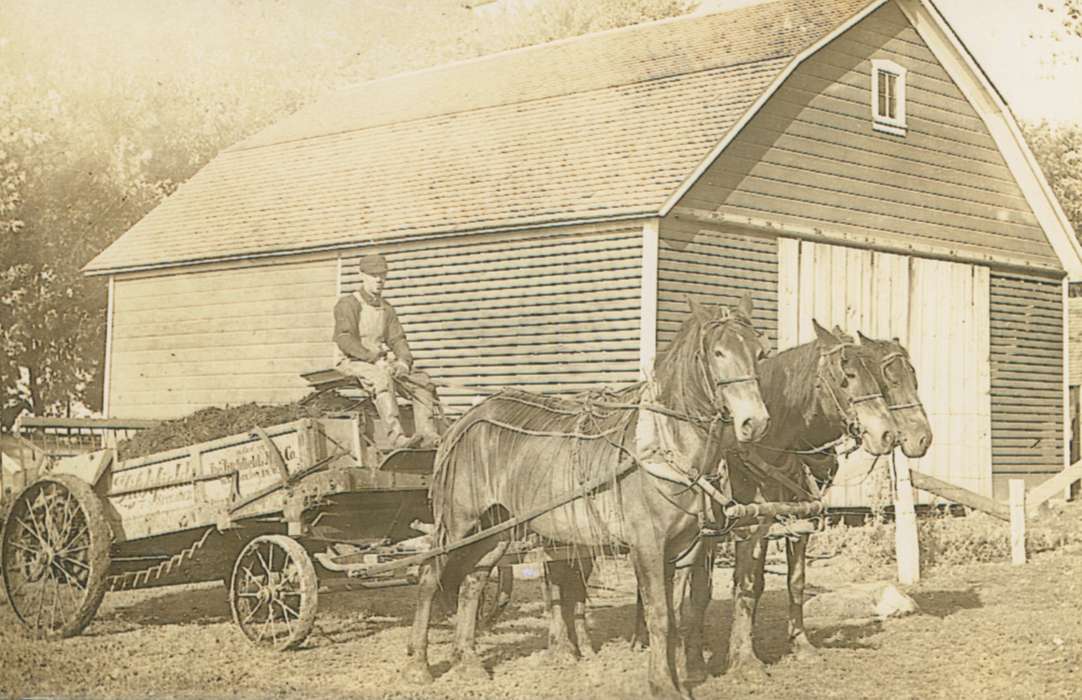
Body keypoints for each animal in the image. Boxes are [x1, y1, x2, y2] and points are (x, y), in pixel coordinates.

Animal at [404, 296, 770, 700]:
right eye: (718, 352)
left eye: (759, 353)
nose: (755, 422)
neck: (662, 446)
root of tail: (463, 421)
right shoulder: (646, 546)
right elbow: (658, 616)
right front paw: (661, 685)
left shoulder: (685, 549)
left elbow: (674, 617)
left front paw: (678, 684)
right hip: (459, 522)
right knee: (428, 576)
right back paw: (418, 666)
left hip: (495, 527)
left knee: (473, 582)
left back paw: (468, 662)